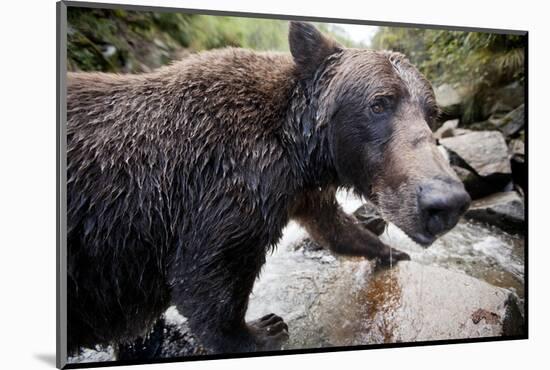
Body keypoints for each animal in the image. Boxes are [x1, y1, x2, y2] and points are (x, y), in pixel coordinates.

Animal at [64, 21, 470, 356]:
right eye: (380, 103)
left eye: (432, 113)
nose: (446, 202)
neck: (297, 147)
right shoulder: (223, 184)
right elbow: (207, 275)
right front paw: (263, 329)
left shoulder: (299, 191)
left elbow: (334, 228)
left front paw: (389, 251)